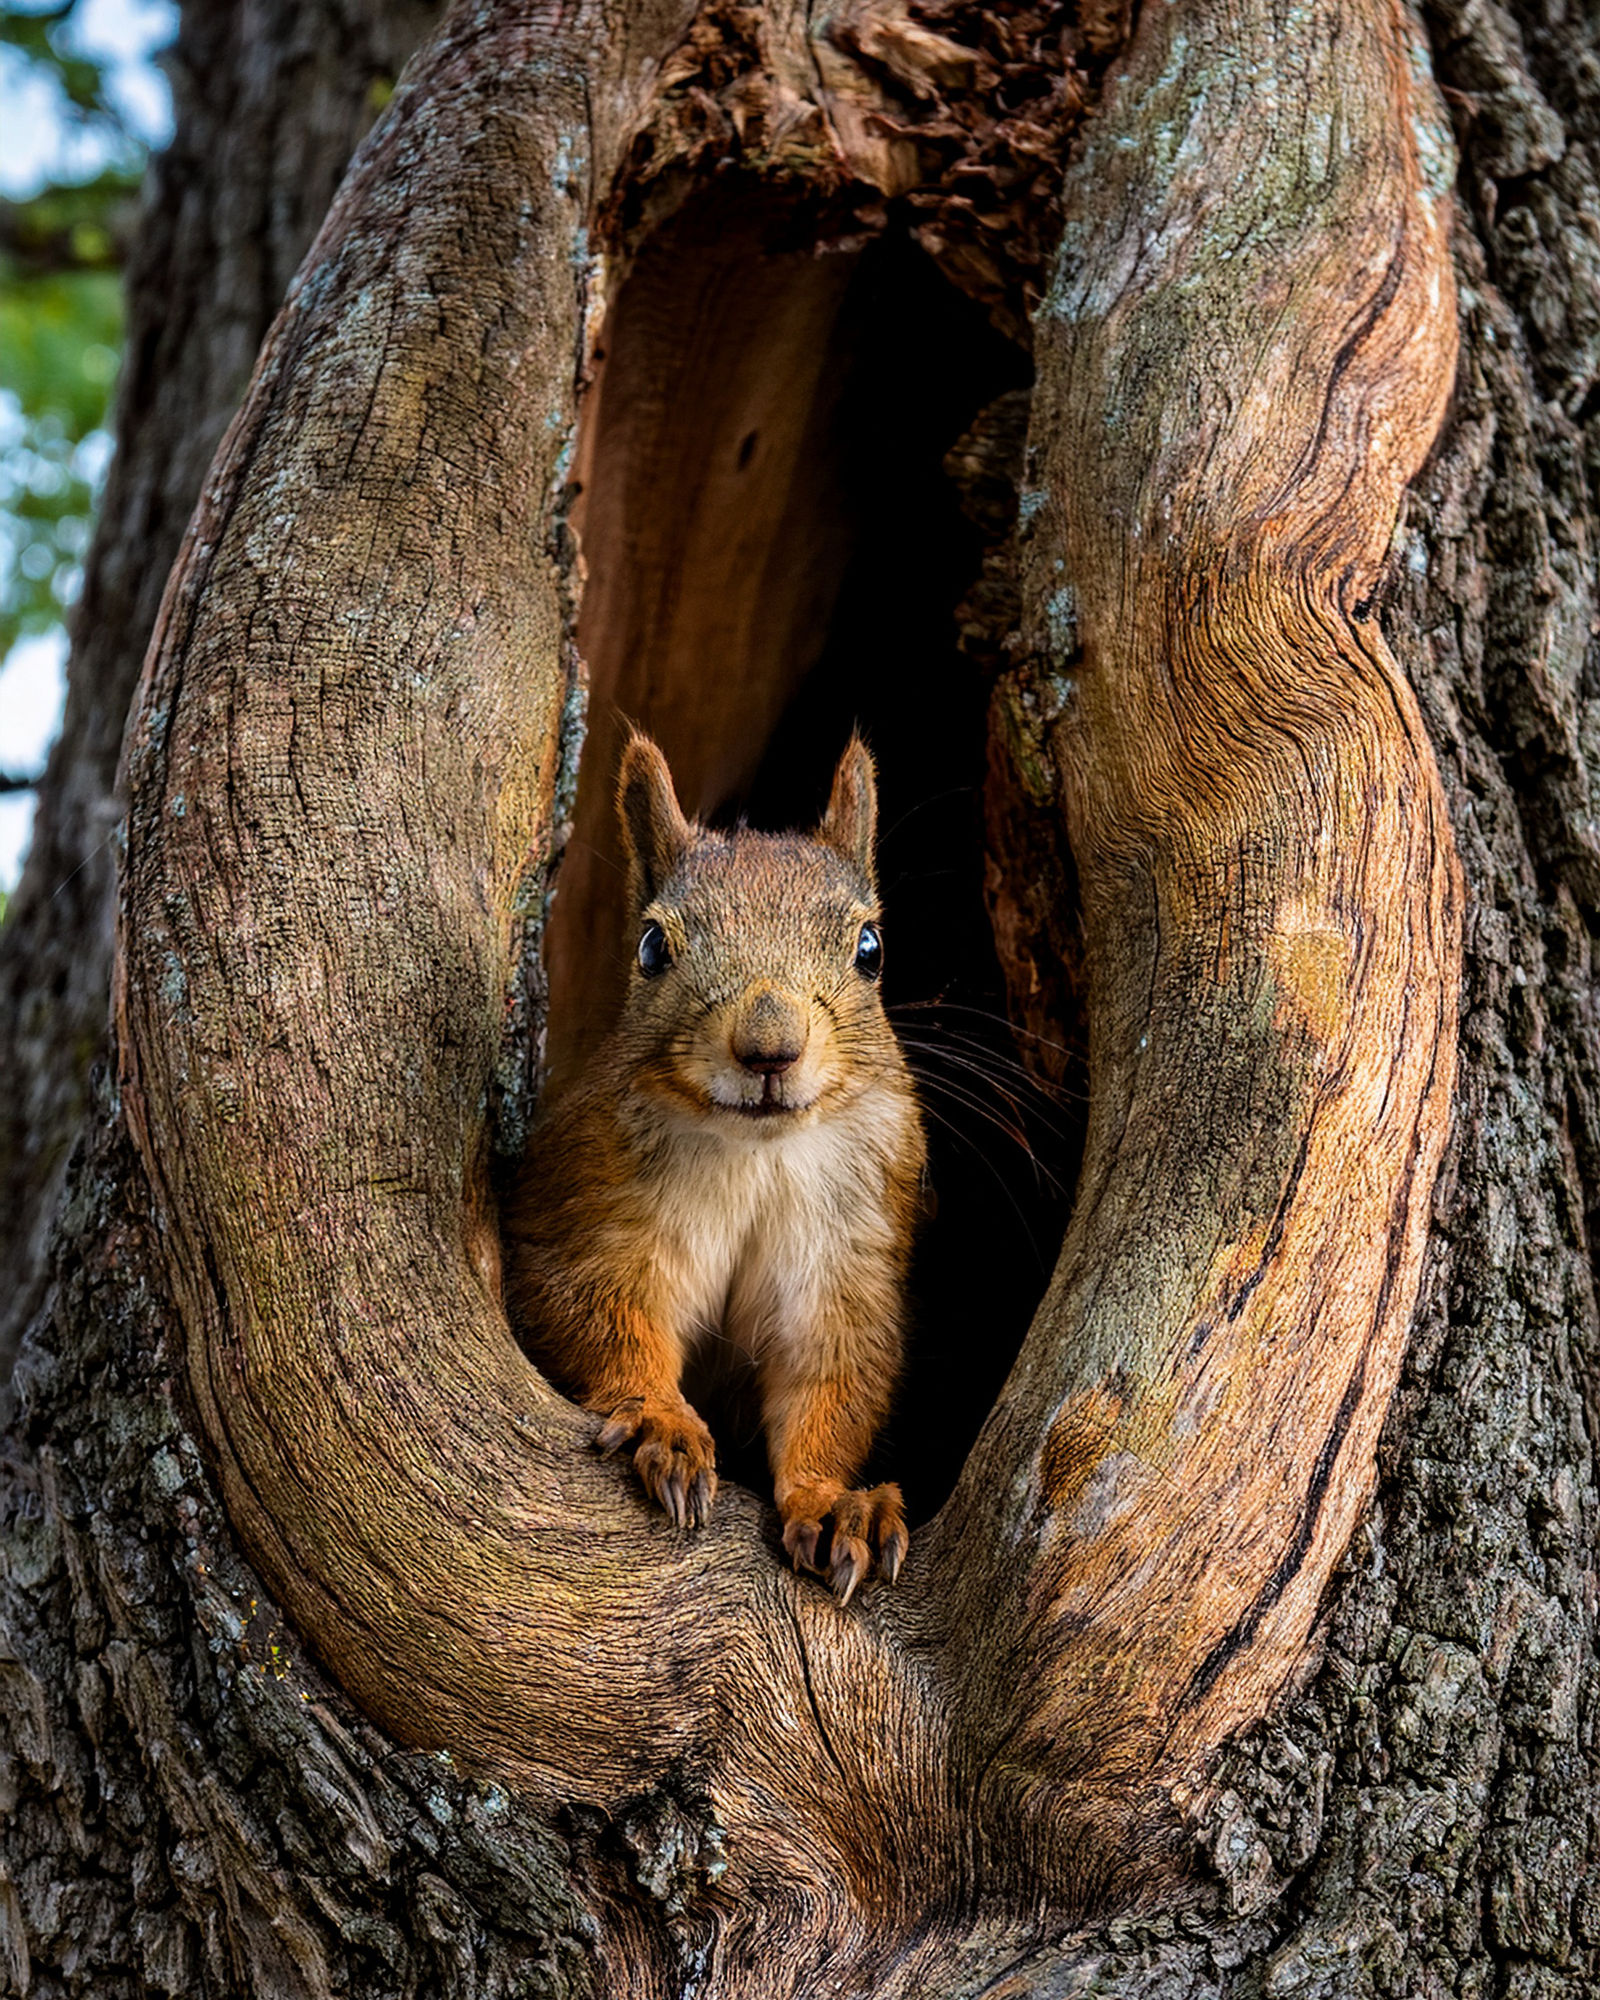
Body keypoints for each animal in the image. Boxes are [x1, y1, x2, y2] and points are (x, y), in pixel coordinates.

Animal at [504, 731, 926, 1602]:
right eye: (651, 947)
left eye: (871, 949)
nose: (769, 1048)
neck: (755, 1154)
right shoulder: (586, 1220)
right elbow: (598, 1318)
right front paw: (662, 1423)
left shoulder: (849, 1261)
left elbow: (830, 1381)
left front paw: (835, 1504)